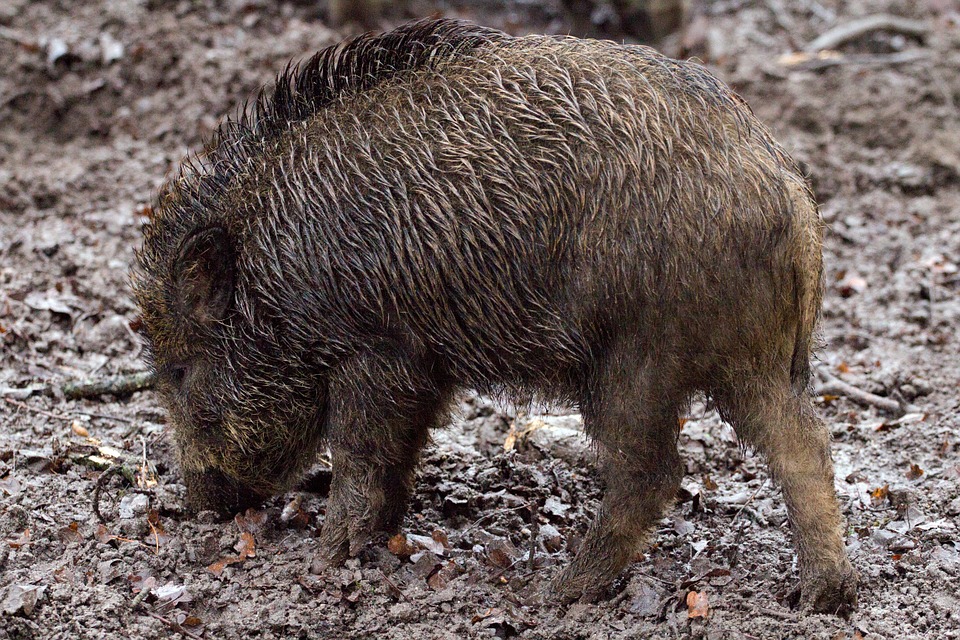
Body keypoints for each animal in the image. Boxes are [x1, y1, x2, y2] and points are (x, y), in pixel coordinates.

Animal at [133, 18, 857, 612]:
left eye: (179, 369)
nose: (198, 507)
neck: (273, 277)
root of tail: (786, 186)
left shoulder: (374, 354)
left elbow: (361, 457)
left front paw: (326, 561)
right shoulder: (423, 368)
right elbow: (398, 458)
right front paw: (380, 541)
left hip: (636, 358)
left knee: (653, 473)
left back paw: (562, 591)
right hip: (750, 358)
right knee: (803, 444)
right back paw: (822, 598)